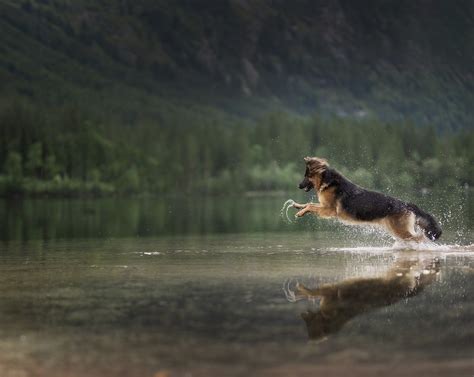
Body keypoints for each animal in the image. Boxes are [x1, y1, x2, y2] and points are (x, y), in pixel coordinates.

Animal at [294, 156, 442, 241]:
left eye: (307, 176)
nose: (298, 186)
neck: (328, 180)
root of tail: (406, 204)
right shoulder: (324, 207)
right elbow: (308, 203)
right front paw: (297, 206)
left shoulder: (329, 210)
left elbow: (310, 205)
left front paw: (300, 212)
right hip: (395, 229)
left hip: (401, 230)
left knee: (419, 238)